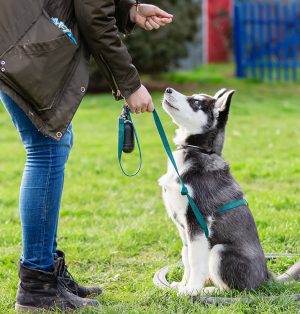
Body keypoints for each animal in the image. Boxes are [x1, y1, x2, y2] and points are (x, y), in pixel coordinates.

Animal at [158, 87, 270, 294]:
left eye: (195, 102)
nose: (168, 89)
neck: (198, 151)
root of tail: (266, 277)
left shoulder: (197, 221)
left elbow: (195, 260)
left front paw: (192, 289)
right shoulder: (183, 227)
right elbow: (186, 256)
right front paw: (183, 284)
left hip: (219, 250)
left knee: (236, 290)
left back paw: (209, 290)